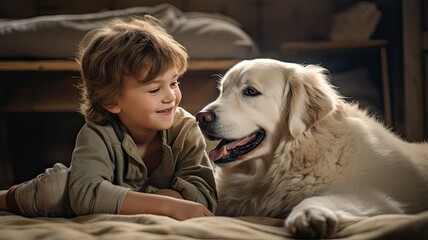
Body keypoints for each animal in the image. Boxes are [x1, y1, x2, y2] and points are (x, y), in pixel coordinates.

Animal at [196, 58, 428, 238]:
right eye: (222, 91)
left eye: (251, 91)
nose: (201, 117)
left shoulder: (375, 197)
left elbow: (322, 198)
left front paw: (308, 215)